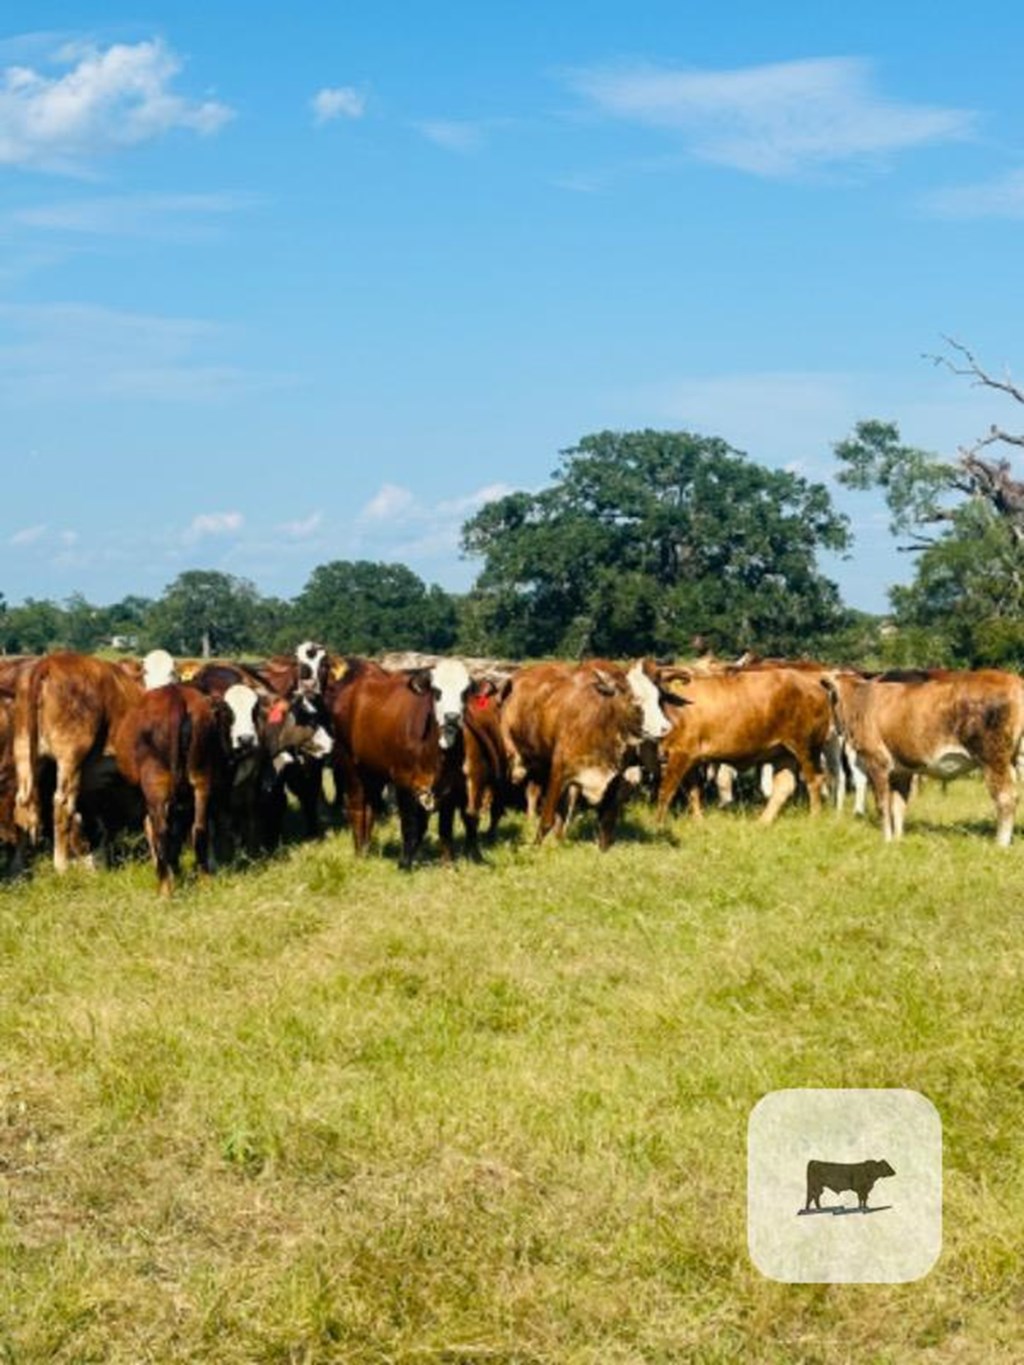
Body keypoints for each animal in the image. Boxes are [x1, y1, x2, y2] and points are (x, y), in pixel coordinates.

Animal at [824, 663, 1024, 840]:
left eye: (831, 697)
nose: (833, 728)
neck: (861, 700)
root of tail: (1014, 680)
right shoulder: (901, 771)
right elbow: (898, 805)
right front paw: (898, 840)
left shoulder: (876, 762)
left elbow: (883, 805)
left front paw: (887, 840)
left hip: (994, 759)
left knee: (1006, 798)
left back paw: (1001, 843)